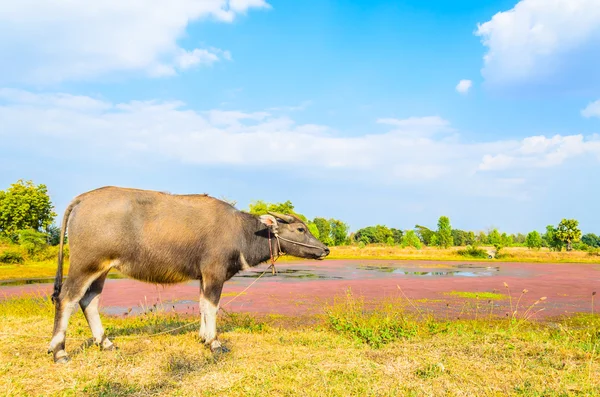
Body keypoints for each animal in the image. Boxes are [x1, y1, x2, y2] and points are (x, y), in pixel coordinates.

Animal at [47, 186, 330, 362]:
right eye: (301, 229)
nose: (325, 249)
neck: (240, 231)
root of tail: (83, 198)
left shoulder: (203, 277)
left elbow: (202, 305)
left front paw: (203, 337)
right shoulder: (214, 274)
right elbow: (213, 307)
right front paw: (215, 343)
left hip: (102, 269)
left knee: (89, 301)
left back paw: (105, 342)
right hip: (85, 264)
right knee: (66, 298)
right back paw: (59, 351)